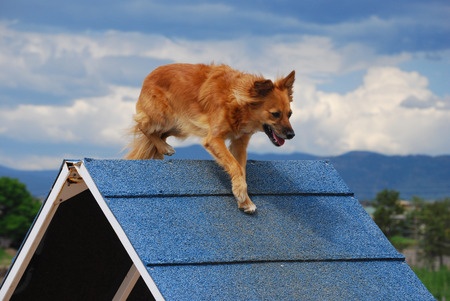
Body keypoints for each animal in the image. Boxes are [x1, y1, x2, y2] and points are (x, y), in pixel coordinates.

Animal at [126, 63, 296, 213]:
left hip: (180, 125)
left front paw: (244, 199)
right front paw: (242, 195)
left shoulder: (239, 143)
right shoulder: (214, 139)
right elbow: (235, 166)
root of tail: (149, 75)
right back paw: (163, 147)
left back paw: (161, 148)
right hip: (164, 116)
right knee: (142, 126)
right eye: (275, 114)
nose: (291, 135)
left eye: (290, 114)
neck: (238, 103)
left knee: (159, 134)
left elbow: (241, 169)